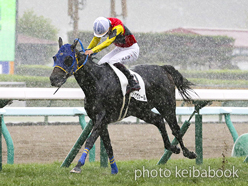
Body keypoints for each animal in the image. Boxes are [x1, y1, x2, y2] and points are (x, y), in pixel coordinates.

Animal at [50, 37, 198, 174]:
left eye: (68, 58)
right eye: (55, 57)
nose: (53, 79)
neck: (97, 82)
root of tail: (163, 68)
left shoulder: (100, 118)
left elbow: (90, 140)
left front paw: (78, 166)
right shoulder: (100, 120)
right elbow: (108, 146)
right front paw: (114, 170)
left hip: (167, 105)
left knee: (176, 129)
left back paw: (188, 152)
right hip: (141, 110)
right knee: (158, 120)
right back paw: (173, 148)